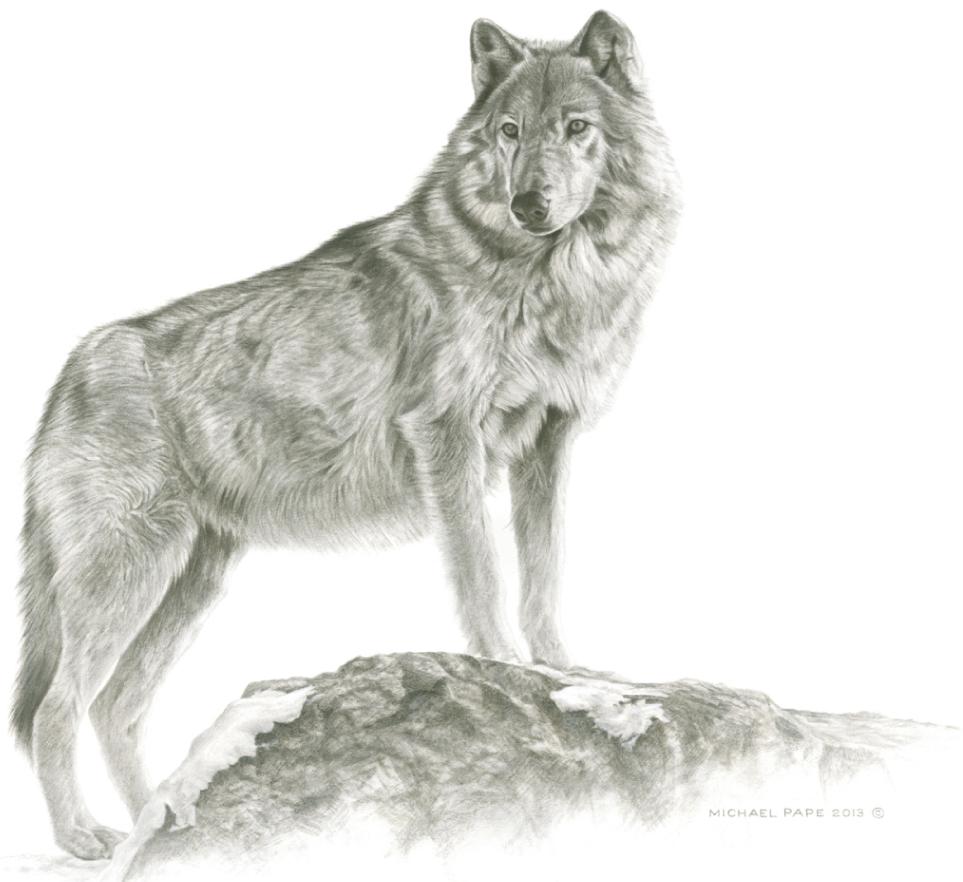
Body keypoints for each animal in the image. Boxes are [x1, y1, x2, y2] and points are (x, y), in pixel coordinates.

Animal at [12, 10, 679, 859]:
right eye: (509, 131)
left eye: (576, 128)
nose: (529, 202)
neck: (546, 277)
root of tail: (75, 365)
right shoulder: (448, 443)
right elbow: (484, 579)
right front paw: (502, 665)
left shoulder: (545, 447)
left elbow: (543, 577)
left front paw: (565, 674)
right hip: (127, 579)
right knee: (56, 709)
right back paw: (85, 839)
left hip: (187, 583)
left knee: (114, 709)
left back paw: (160, 825)